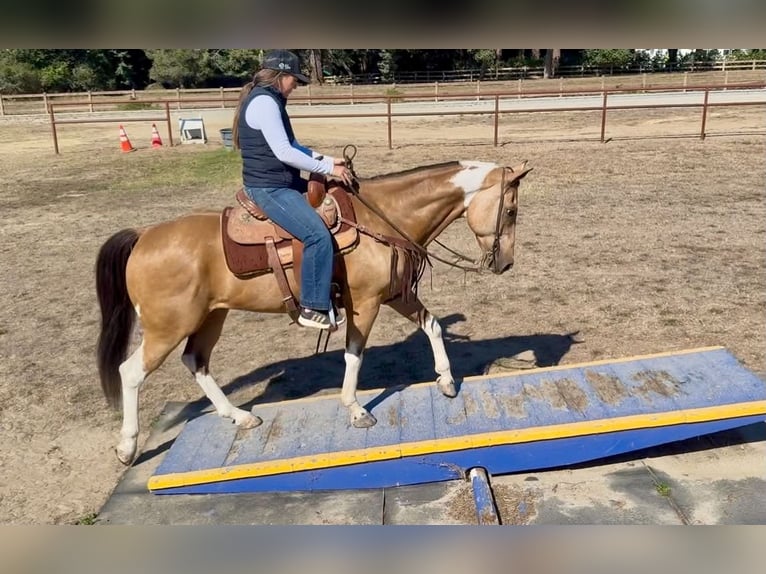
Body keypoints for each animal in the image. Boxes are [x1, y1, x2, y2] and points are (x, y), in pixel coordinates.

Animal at [95, 159, 532, 465]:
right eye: (511, 211)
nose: (507, 263)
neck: (382, 217)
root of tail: (144, 236)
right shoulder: (366, 304)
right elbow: (354, 355)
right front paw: (355, 409)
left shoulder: (395, 295)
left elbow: (434, 326)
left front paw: (446, 381)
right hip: (167, 327)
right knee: (130, 372)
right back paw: (127, 447)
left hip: (210, 317)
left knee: (196, 362)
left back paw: (239, 416)